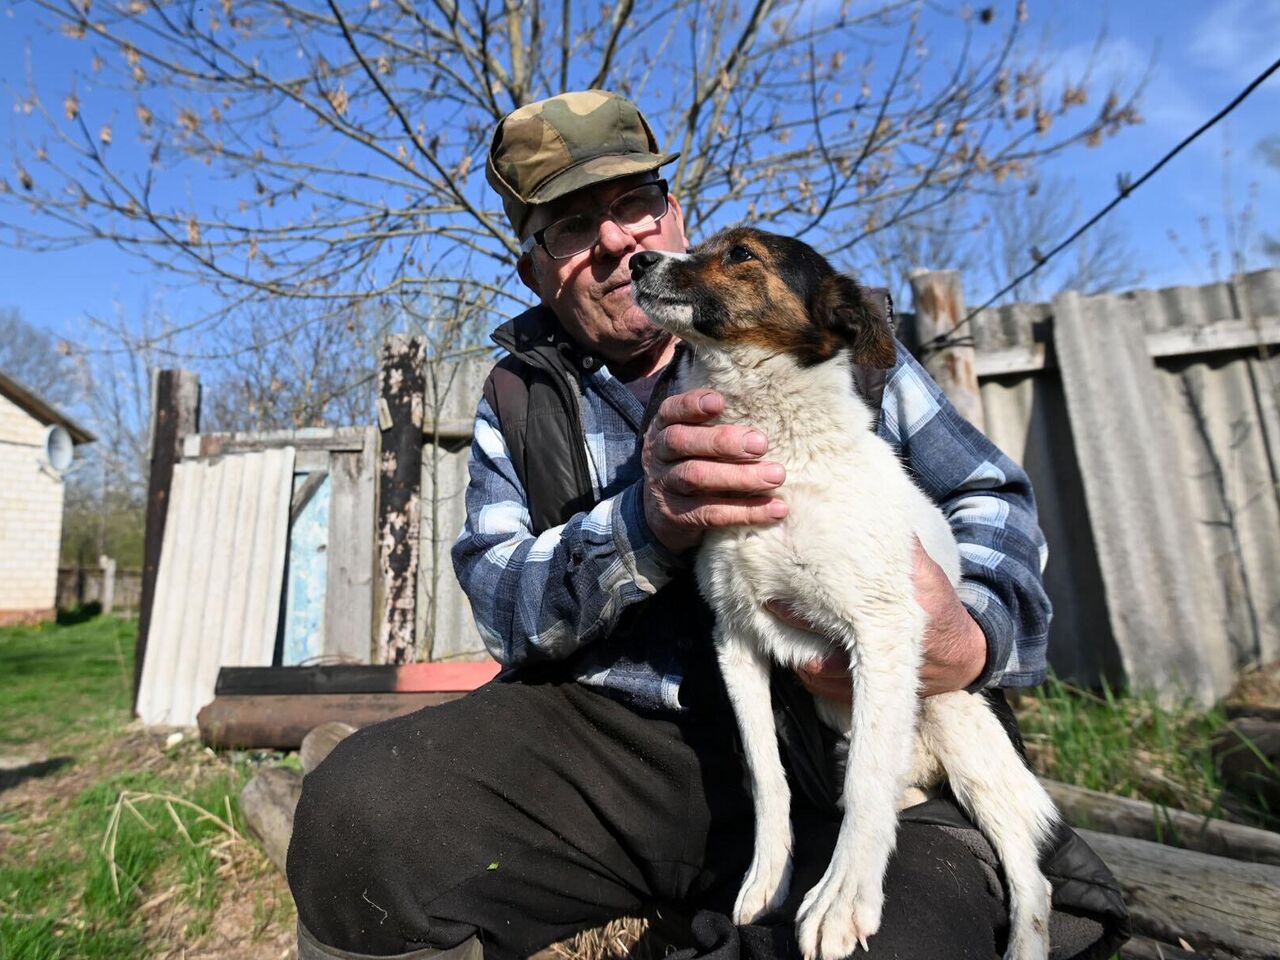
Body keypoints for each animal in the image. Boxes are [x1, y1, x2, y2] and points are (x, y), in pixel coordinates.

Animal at [629, 227, 1059, 960]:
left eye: (741, 253)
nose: (638, 260)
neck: (781, 451)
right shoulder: (736, 638)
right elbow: (767, 776)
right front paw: (767, 880)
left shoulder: (881, 633)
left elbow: (863, 783)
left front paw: (842, 897)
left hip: (959, 723)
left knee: (1031, 878)